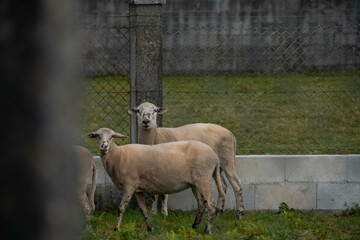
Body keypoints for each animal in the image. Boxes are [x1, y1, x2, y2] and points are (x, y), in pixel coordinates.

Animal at [87, 127, 225, 234]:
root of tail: (215, 156)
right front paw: (150, 228)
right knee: (201, 205)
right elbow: (143, 209)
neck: (118, 155)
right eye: (98, 136)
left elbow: (121, 208)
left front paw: (116, 229)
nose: (104, 146)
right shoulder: (137, 190)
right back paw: (194, 228)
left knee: (211, 205)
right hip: (194, 184)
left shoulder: (129, 185)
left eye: (112, 136)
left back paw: (206, 231)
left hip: (203, 180)